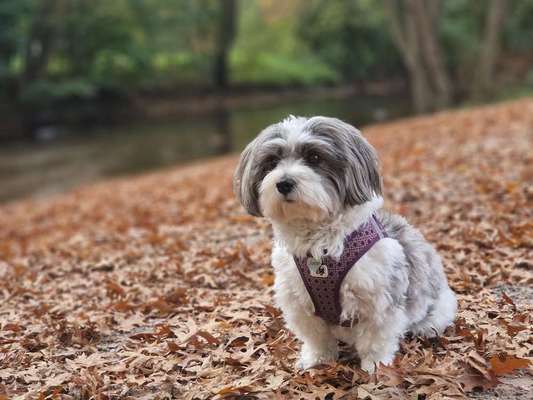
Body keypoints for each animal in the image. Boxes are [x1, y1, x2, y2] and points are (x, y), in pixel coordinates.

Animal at [231, 115, 456, 372]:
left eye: (314, 157)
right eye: (272, 161)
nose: (284, 183)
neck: (318, 245)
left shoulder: (378, 299)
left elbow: (375, 338)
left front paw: (375, 366)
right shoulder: (299, 303)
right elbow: (317, 337)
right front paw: (318, 359)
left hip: (438, 305)